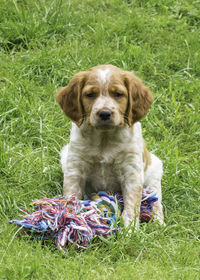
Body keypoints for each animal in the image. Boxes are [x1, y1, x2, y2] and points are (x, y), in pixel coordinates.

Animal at [55, 64, 164, 229]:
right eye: (90, 95)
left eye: (118, 94)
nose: (104, 113)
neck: (104, 138)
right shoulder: (75, 169)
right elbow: (71, 197)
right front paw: (71, 221)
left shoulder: (131, 172)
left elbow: (131, 206)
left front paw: (130, 230)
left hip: (154, 171)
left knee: (156, 199)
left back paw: (158, 222)